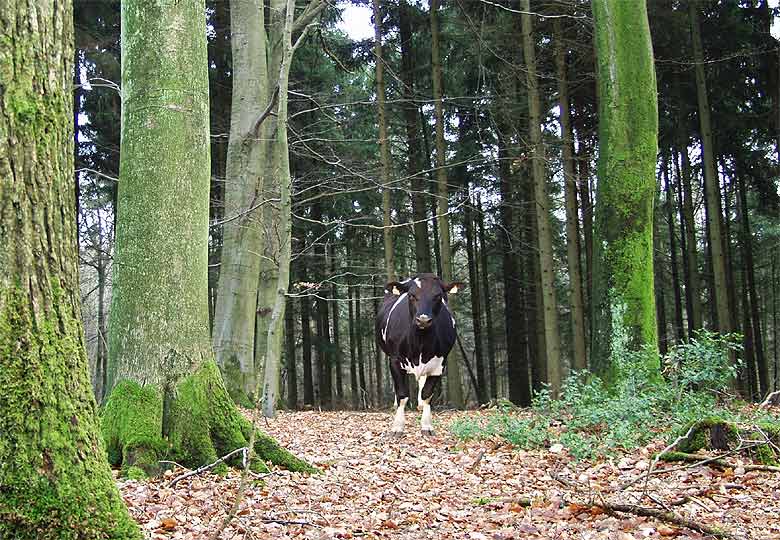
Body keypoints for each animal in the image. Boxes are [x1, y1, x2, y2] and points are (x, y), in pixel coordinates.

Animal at [376, 272, 464, 436]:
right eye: (411, 295)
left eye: (438, 296)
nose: (423, 320)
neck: (420, 343)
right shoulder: (395, 361)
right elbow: (402, 394)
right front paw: (397, 427)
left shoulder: (439, 365)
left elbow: (427, 394)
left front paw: (426, 425)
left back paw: (421, 406)